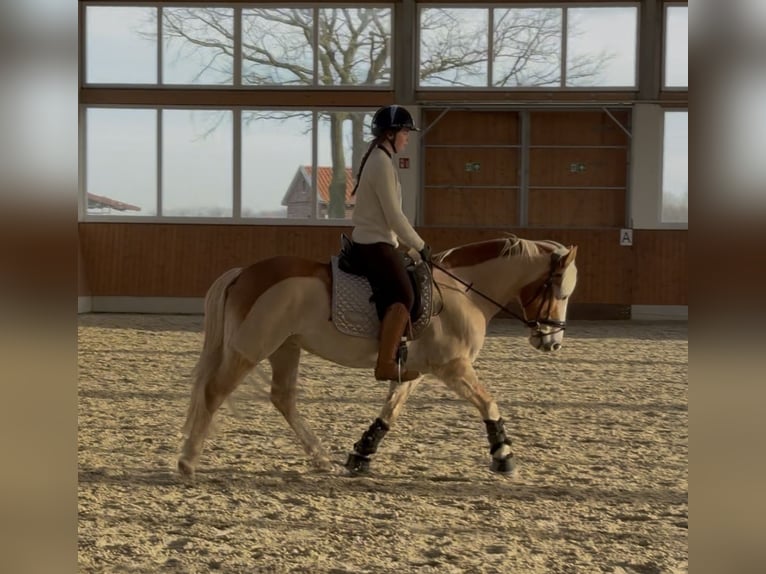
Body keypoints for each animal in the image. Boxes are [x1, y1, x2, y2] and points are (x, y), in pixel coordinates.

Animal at [177, 235, 578, 477]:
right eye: (559, 289)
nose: (552, 341)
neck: (462, 291)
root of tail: (244, 272)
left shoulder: (414, 369)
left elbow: (391, 410)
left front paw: (361, 454)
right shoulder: (454, 366)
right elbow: (488, 402)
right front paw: (503, 455)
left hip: (285, 347)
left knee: (283, 398)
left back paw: (320, 457)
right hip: (254, 347)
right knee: (214, 391)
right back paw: (188, 460)